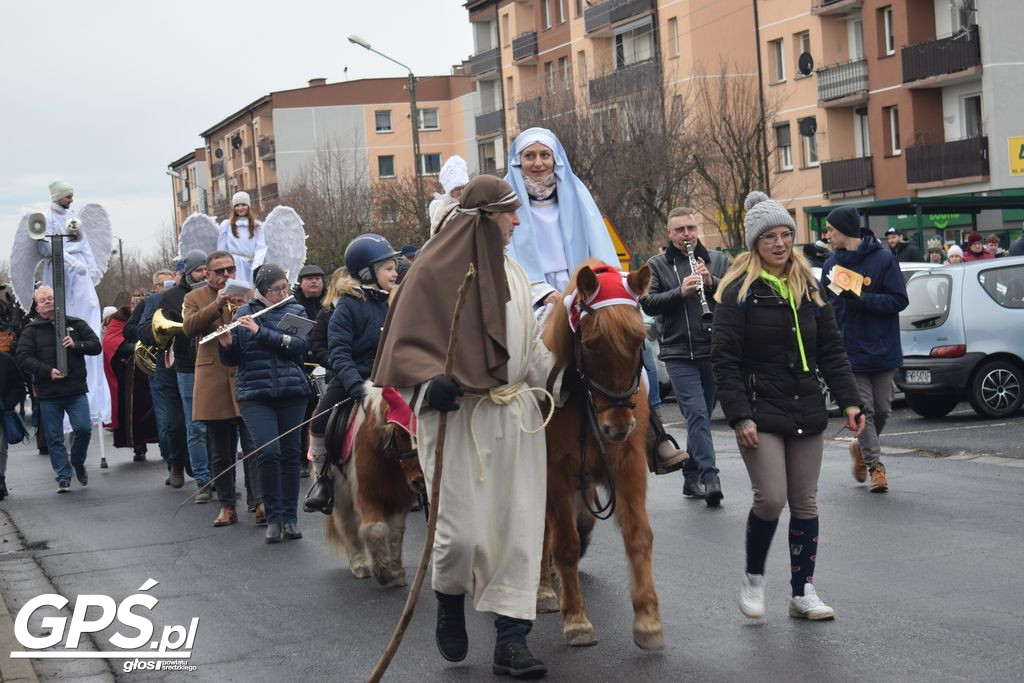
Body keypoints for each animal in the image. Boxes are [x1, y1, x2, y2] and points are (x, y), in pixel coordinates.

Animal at [321, 385, 421, 589]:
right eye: (400, 433)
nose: (419, 481)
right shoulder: (367, 497)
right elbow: (374, 529)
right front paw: (382, 572)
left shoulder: (398, 500)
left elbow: (396, 533)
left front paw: (396, 572)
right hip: (341, 500)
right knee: (348, 528)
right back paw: (359, 565)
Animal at [536, 260, 663, 651]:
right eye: (591, 344)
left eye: (639, 341)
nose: (617, 427)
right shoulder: (555, 475)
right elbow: (564, 545)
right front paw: (576, 619)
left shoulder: (628, 466)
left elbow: (639, 534)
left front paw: (648, 620)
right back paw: (543, 593)